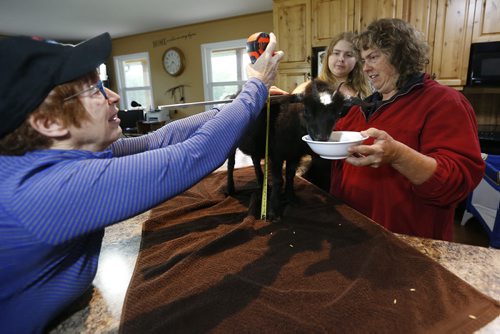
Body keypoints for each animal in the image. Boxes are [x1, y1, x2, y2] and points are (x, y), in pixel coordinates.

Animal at [228, 77, 352, 219]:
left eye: (338, 113)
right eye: (306, 110)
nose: (321, 138)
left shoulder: (295, 155)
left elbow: (290, 176)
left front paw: (291, 198)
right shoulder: (276, 155)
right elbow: (278, 180)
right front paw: (273, 210)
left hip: (257, 144)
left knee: (255, 160)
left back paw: (262, 184)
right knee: (231, 164)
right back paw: (230, 189)